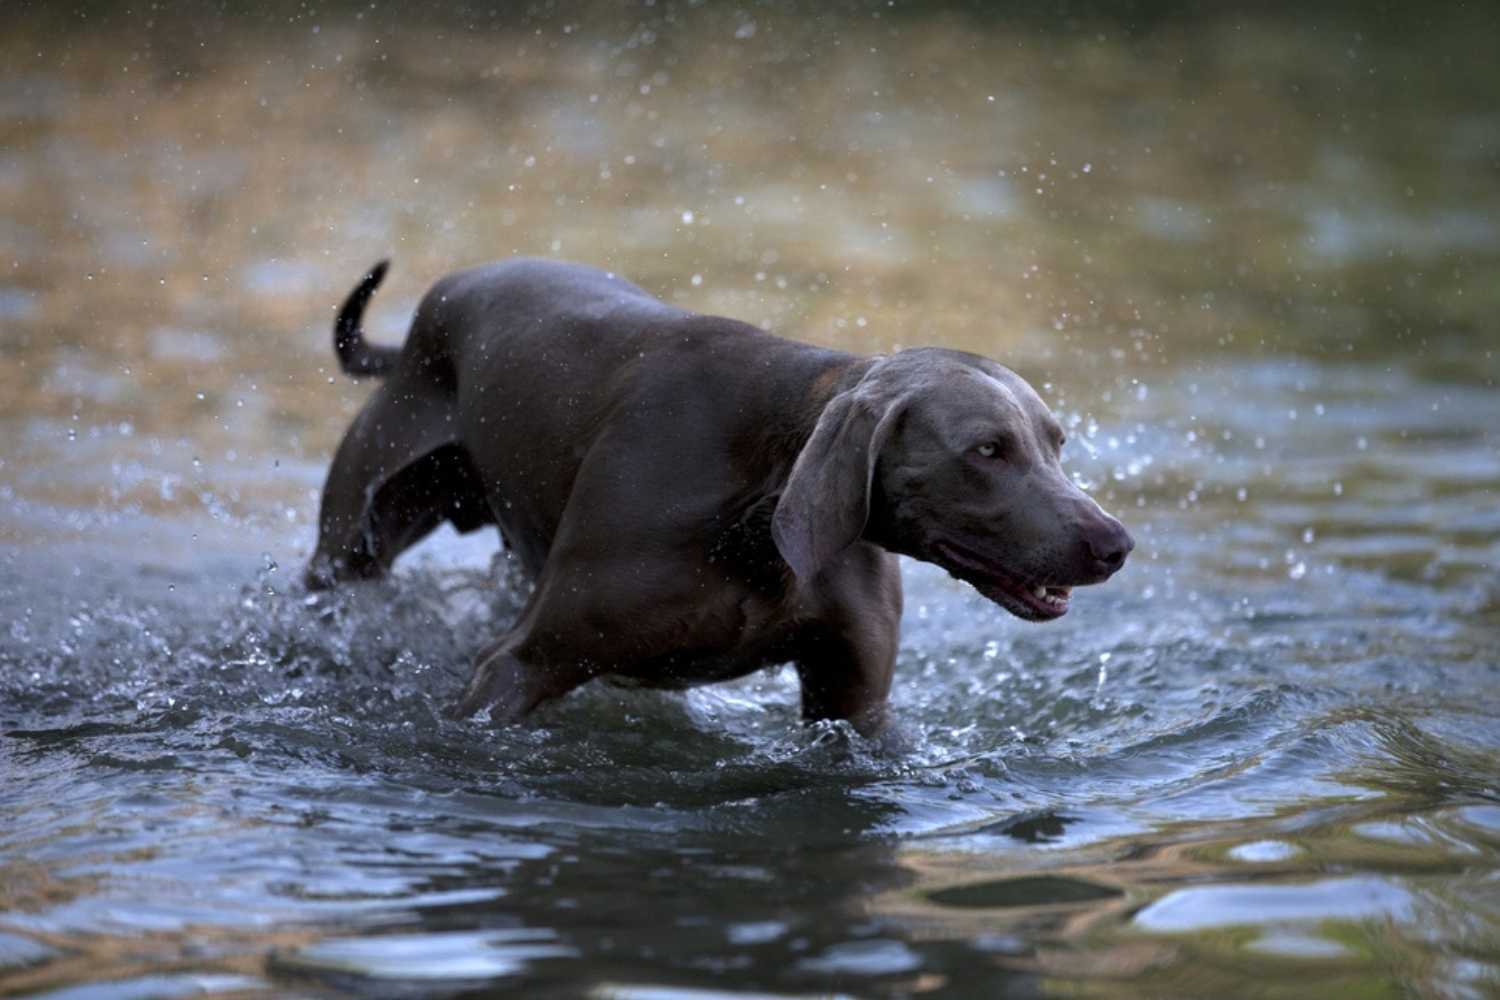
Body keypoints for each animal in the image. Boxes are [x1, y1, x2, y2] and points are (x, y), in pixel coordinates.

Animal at [304, 257, 1128, 734]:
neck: (761, 500)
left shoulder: (853, 698)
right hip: (353, 541)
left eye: (1056, 443)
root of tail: (448, 292)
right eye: (987, 450)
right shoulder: (518, 666)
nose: (1115, 543)